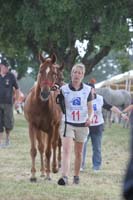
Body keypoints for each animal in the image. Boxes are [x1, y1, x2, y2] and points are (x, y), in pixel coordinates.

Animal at [23, 53, 63, 181]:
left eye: (53, 73)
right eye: (40, 71)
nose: (45, 93)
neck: (39, 105)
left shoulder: (51, 128)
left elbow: (48, 151)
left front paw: (49, 174)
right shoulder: (32, 126)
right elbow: (34, 150)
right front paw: (33, 175)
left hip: (56, 126)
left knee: (55, 144)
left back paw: (53, 167)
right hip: (39, 129)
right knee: (41, 146)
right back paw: (42, 171)